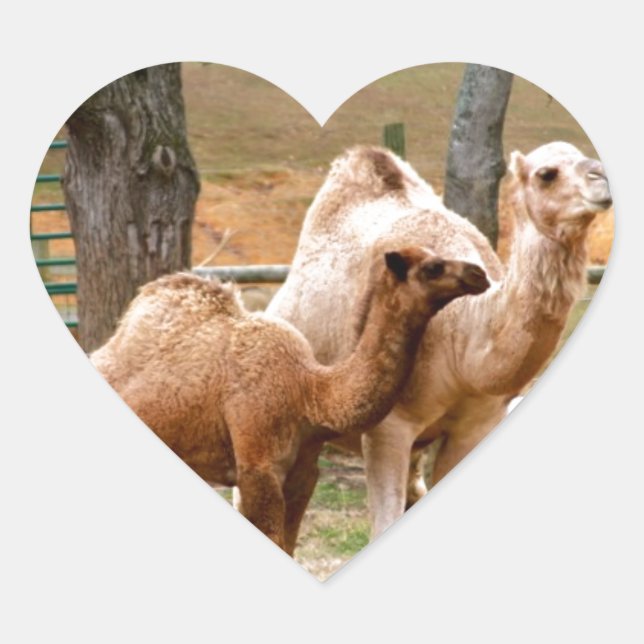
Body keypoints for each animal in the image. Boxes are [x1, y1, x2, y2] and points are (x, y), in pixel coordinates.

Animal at [90, 248, 490, 551]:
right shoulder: (258, 467)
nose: (480, 274)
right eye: (433, 267)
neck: (309, 392)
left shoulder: (304, 472)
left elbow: (289, 544)